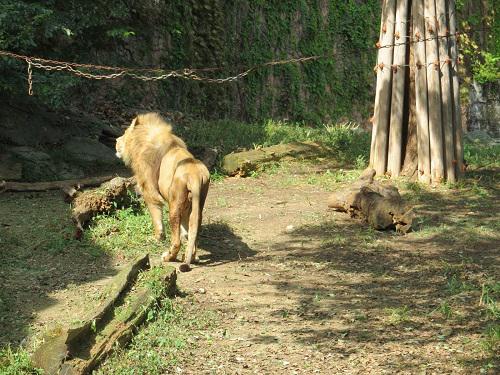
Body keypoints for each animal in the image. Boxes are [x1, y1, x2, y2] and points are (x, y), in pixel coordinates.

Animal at [115, 111, 209, 270]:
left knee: (176, 240)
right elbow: (187, 230)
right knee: (194, 230)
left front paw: (157, 237)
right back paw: (190, 257)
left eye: (125, 132)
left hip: (174, 205)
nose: (116, 140)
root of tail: (195, 175)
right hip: (197, 203)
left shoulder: (149, 190)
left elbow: (156, 216)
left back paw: (169, 257)